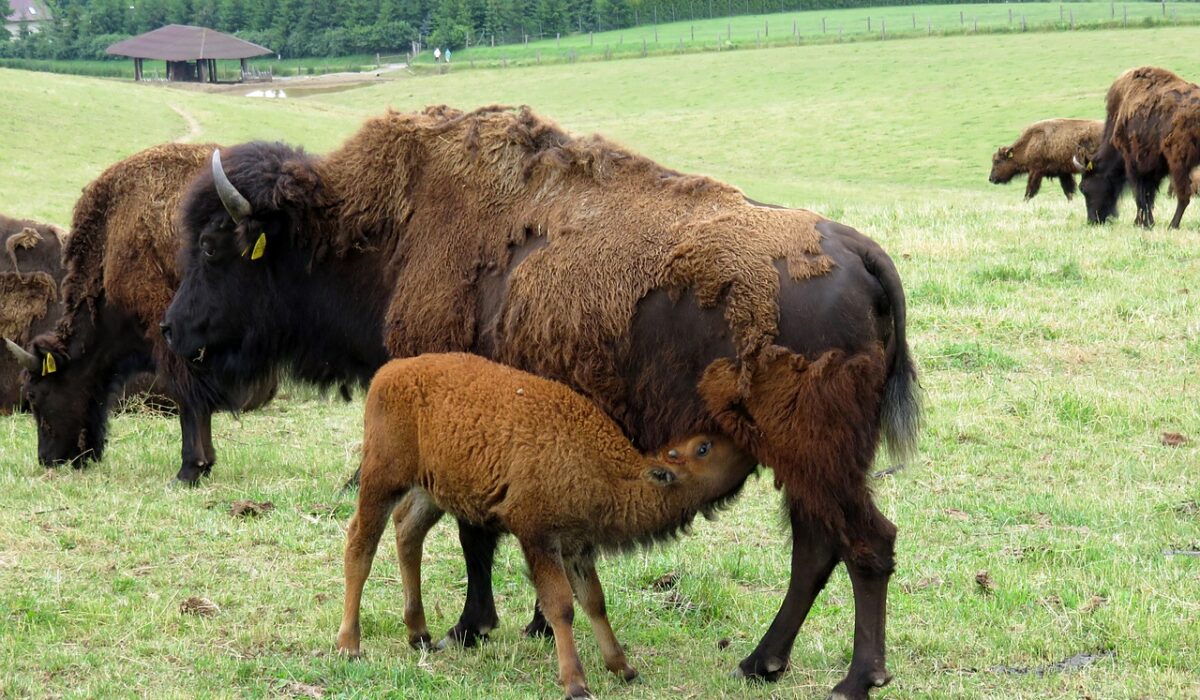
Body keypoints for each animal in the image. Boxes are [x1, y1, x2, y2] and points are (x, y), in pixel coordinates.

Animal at [333, 353, 753, 696]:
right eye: (703, 447)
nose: (745, 444)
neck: (606, 467)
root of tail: (390, 372)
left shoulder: (577, 547)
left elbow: (594, 601)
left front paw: (623, 667)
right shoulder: (539, 539)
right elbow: (560, 605)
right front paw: (576, 683)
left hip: (430, 491)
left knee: (408, 532)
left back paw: (419, 634)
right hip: (382, 479)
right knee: (361, 545)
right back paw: (349, 644)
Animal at [1080, 64, 1200, 225]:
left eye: (1084, 188)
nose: (1092, 220)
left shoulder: (1135, 165)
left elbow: (1141, 196)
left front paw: (1142, 223)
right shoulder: (1153, 169)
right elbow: (1148, 196)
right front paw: (1146, 222)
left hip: (1178, 164)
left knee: (1183, 196)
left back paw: (1172, 225)